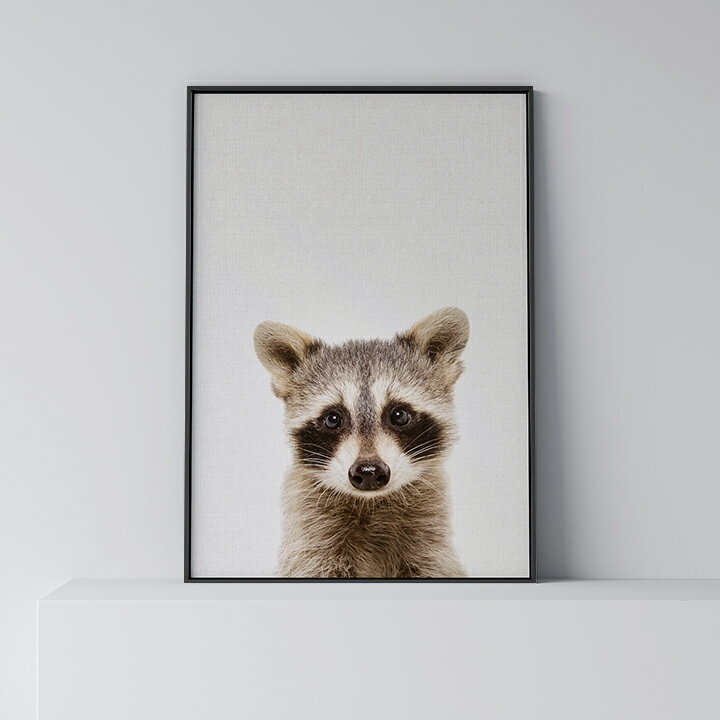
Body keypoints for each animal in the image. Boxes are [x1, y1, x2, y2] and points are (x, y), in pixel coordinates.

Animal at [253, 307, 469, 579]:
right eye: (333, 419)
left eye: (399, 415)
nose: (368, 471)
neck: (371, 502)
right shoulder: (313, 536)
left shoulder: (429, 536)